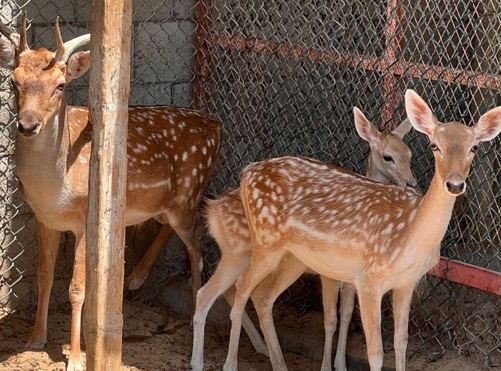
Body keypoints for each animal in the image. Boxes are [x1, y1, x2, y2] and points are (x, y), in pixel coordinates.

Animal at [0, 15, 220, 371]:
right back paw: (136, 278)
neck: (54, 187)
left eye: (60, 85)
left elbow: (77, 289)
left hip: (190, 191)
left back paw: (191, 318)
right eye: (13, 81)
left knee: (197, 246)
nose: (28, 125)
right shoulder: (45, 218)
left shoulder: (85, 218)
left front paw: (76, 359)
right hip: (167, 202)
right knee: (167, 226)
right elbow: (45, 275)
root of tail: (216, 123)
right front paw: (35, 339)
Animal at [189, 111, 416, 371]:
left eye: (409, 153)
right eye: (388, 157)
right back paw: (203, 361)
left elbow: (347, 313)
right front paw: (329, 366)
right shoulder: (329, 272)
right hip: (243, 253)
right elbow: (331, 319)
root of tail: (212, 212)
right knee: (217, 293)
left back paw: (265, 351)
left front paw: (341, 364)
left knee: (235, 293)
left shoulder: (352, 277)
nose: (411, 182)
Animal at [220, 90, 501, 371]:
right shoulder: (368, 278)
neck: (409, 234)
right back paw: (231, 364)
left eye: (474, 147)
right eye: (434, 145)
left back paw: (279, 363)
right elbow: (375, 351)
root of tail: (247, 172)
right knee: (241, 288)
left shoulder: (407, 282)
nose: (454, 184)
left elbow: (401, 342)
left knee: (262, 296)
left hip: (294, 258)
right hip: (265, 241)